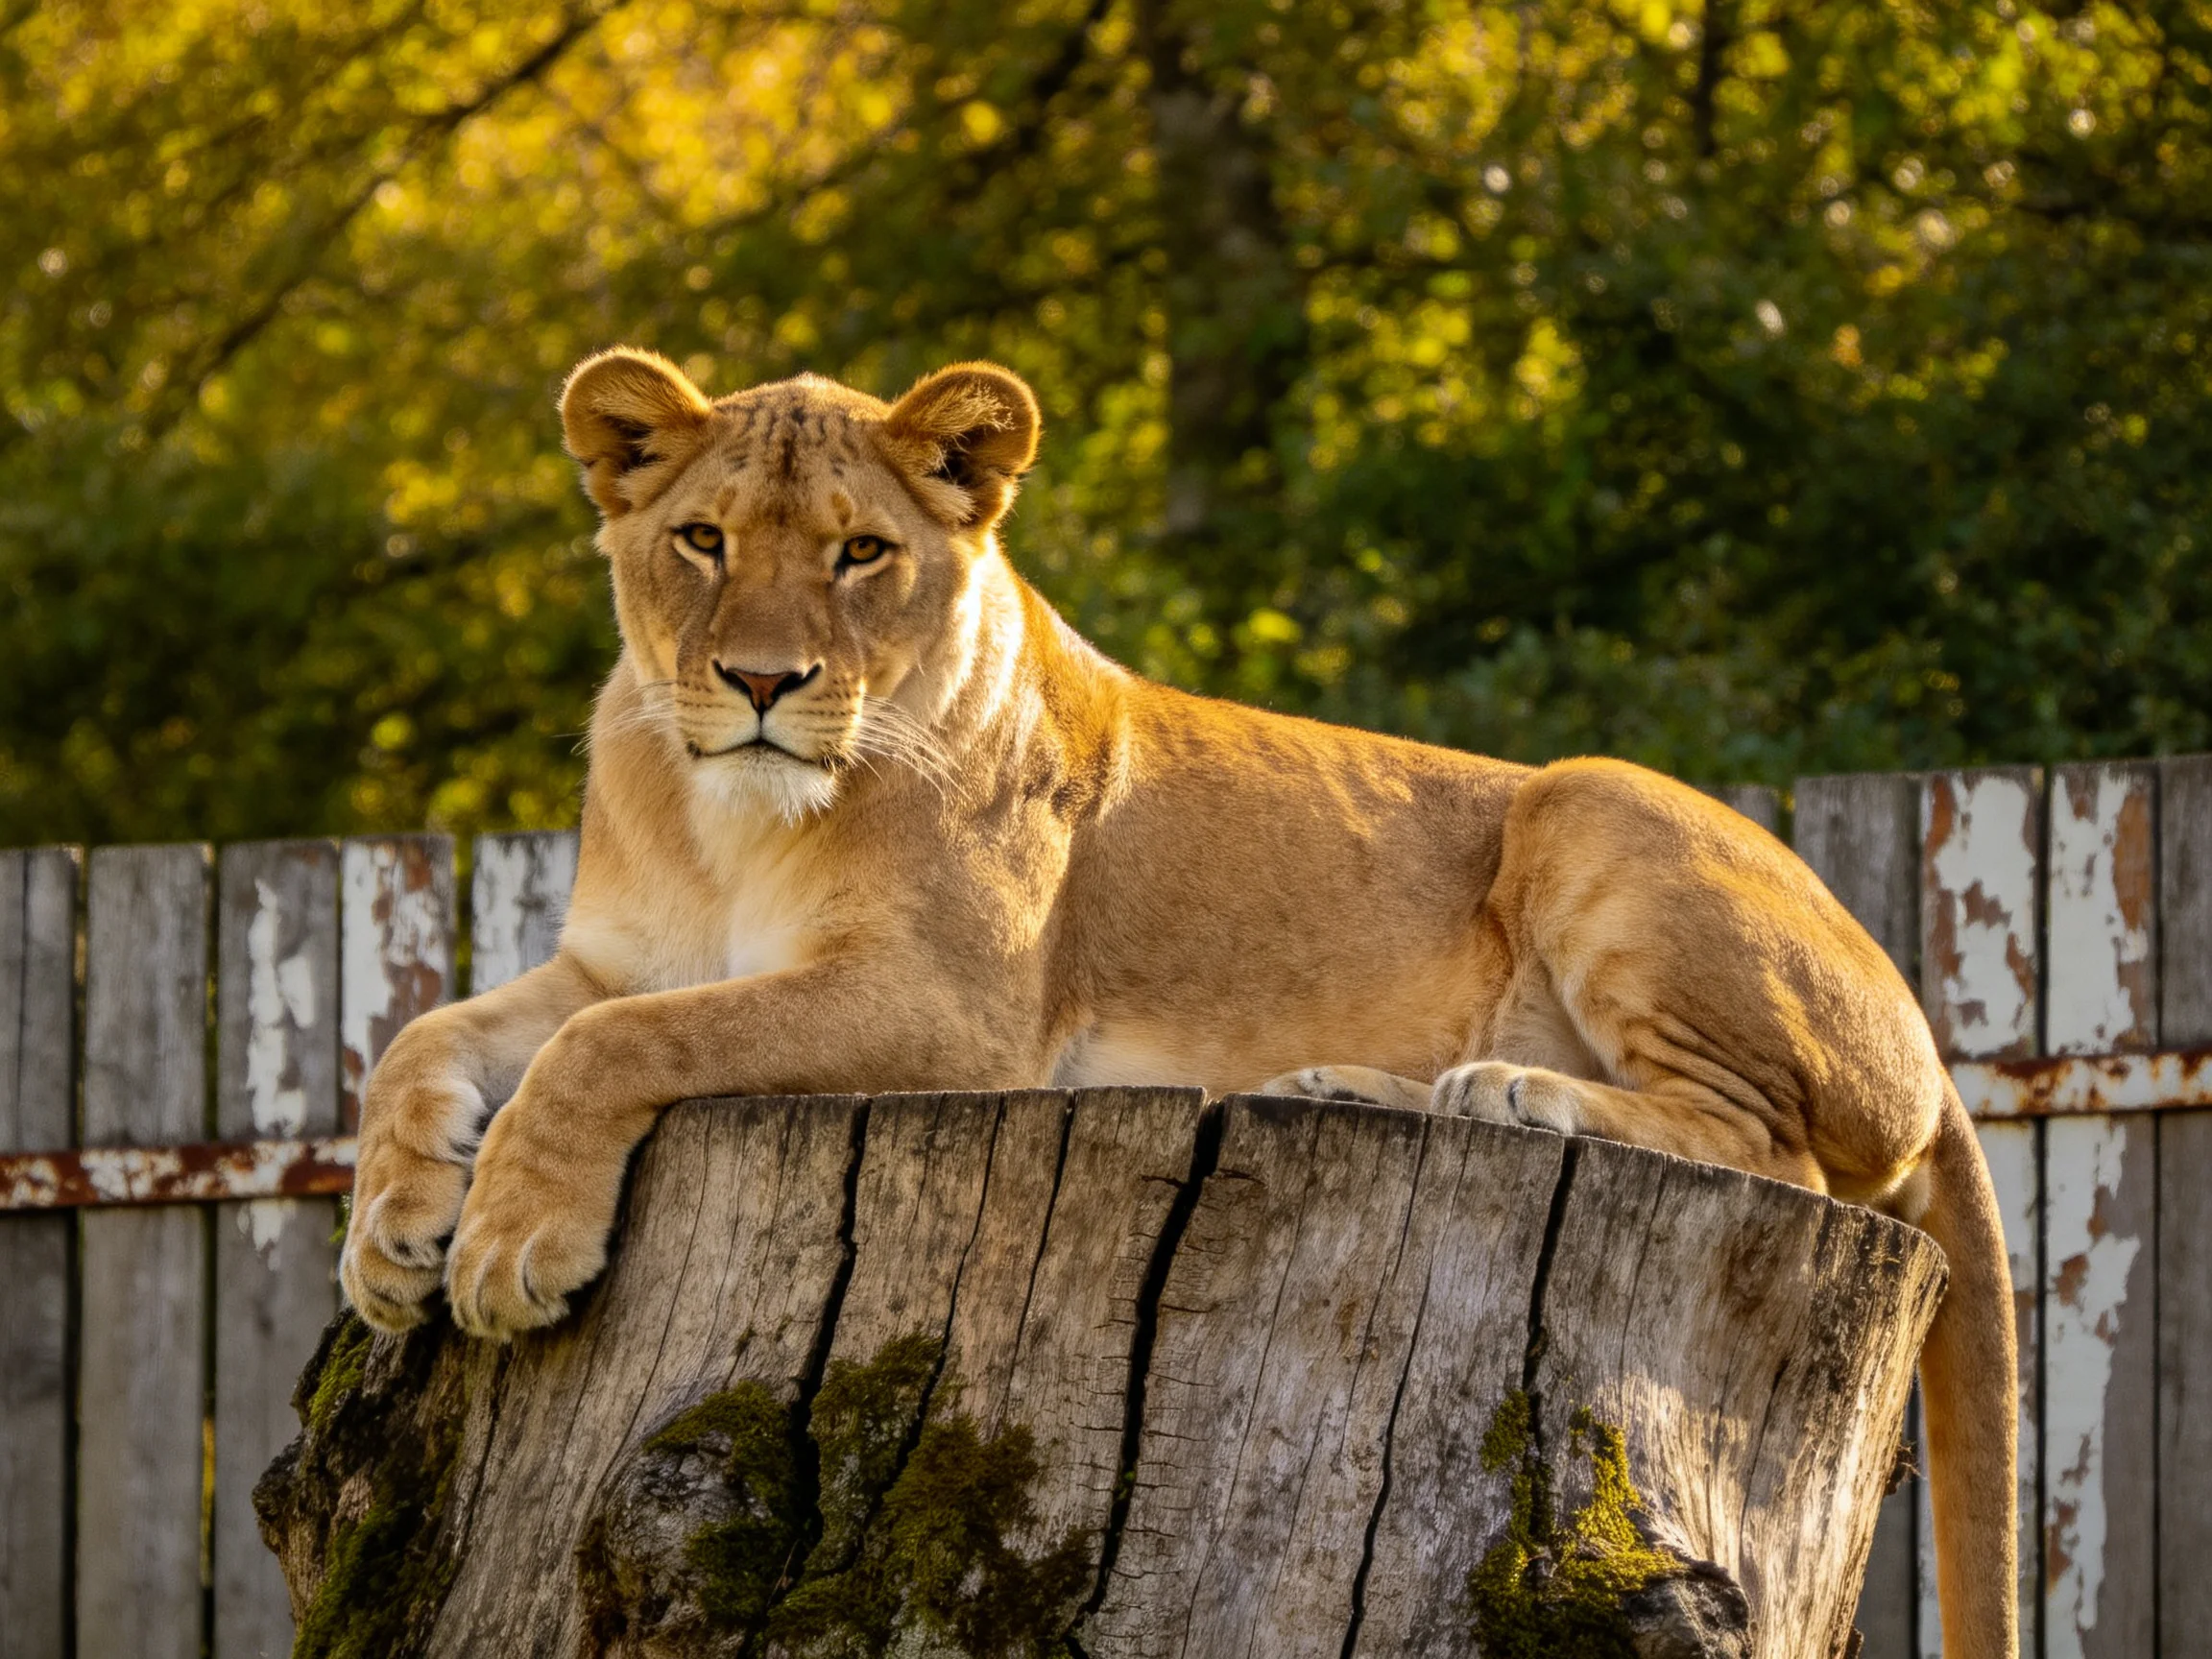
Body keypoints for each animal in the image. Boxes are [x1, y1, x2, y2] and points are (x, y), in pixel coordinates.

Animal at [339, 349, 2016, 1657]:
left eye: (859, 554)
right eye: (699, 538)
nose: (761, 682)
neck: (726, 816)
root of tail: (1936, 1060)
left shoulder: (951, 1010)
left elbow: (613, 1045)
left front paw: (507, 1242)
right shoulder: (623, 952)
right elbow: (428, 1037)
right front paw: (394, 1233)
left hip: (1592, 800)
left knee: (1777, 1151)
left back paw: (1521, 1095)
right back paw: (1357, 1089)